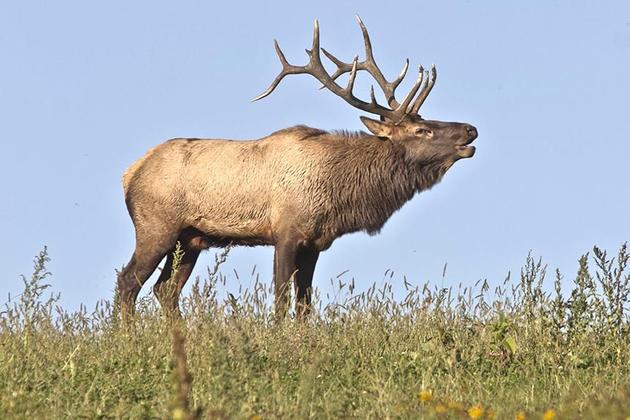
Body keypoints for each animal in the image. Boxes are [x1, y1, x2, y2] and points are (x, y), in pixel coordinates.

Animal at [117, 14, 478, 320]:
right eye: (422, 130)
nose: (471, 130)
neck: (339, 193)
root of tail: (130, 173)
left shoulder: (315, 244)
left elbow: (305, 306)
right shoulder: (285, 232)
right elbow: (280, 300)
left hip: (190, 238)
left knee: (165, 290)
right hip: (156, 226)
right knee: (128, 282)